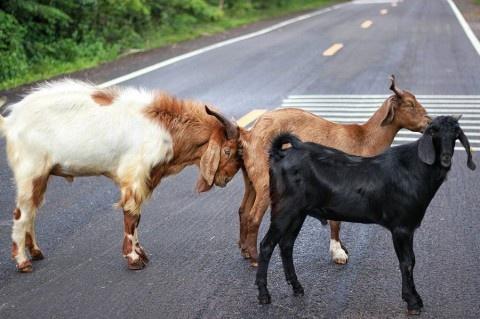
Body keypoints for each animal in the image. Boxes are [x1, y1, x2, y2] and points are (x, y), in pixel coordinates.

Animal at [238, 76, 430, 266]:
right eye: (410, 104)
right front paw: (338, 253)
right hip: (265, 180)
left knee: (244, 210)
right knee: (254, 217)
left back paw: (245, 251)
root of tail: (250, 135)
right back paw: (255, 258)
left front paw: (341, 248)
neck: (364, 139)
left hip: (251, 180)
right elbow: (336, 221)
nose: (429, 122)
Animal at [256, 116, 474, 316]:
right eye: (434, 132)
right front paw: (412, 301)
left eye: (455, 134)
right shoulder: (401, 228)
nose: (445, 158)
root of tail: (279, 154)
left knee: (286, 245)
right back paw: (264, 295)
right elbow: (407, 262)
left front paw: (414, 298)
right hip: (284, 209)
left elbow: (410, 261)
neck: (414, 168)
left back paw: (297, 287)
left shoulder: (407, 228)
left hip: (298, 213)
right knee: (267, 245)